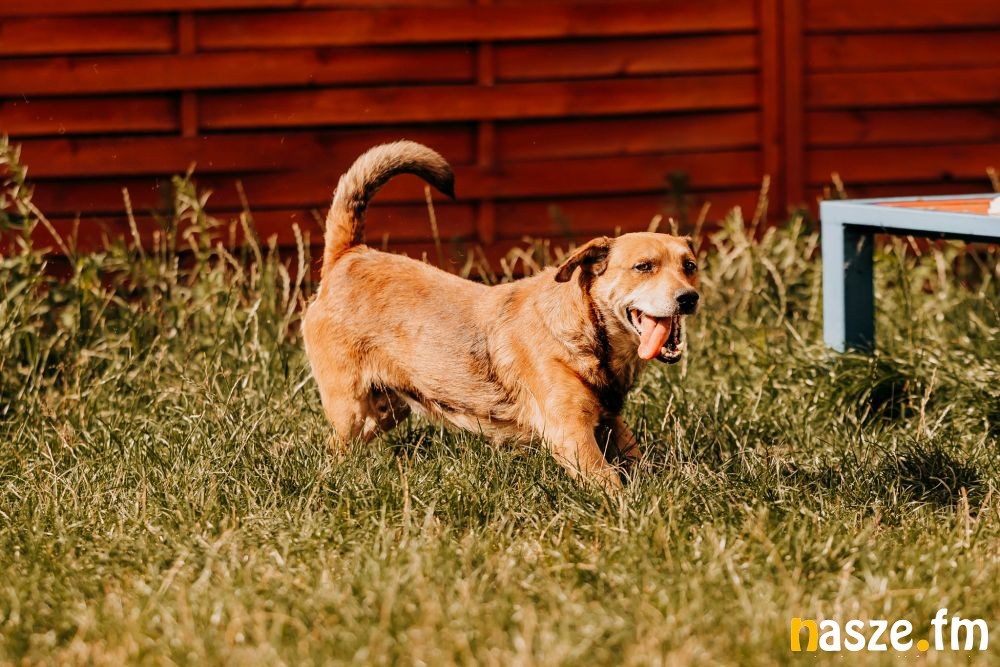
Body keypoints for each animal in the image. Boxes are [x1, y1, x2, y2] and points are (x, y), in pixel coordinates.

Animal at [303, 141, 700, 493]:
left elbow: (637, 459)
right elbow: (612, 486)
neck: (586, 333)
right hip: (351, 407)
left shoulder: (611, 421)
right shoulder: (572, 437)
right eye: (644, 267)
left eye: (690, 266)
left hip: (385, 409)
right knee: (338, 445)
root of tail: (349, 254)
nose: (689, 298)